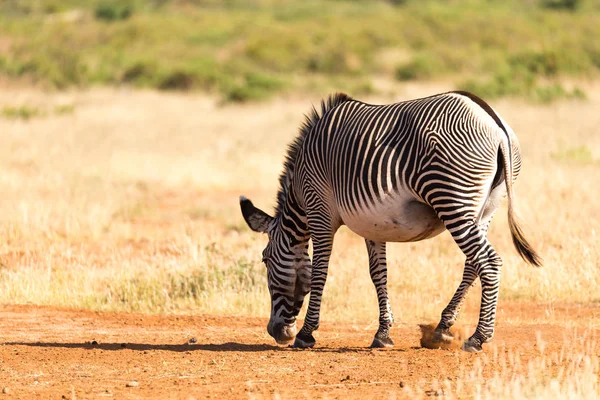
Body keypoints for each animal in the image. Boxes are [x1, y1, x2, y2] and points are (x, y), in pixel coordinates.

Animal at [240, 91, 544, 354]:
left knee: (489, 262)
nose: (276, 332)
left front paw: (306, 333)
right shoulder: (372, 224)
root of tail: (494, 124)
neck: (300, 198)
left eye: (265, 259)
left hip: (452, 198)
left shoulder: (319, 213)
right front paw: (383, 334)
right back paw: (442, 329)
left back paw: (478, 338)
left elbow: (319, 273)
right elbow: (379, 274)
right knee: (473, 265)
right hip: (485, 207)